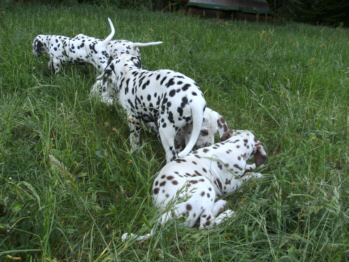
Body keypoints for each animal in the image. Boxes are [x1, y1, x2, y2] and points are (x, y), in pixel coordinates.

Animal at [121, 129, 266, 242]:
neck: (233, 146)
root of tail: (165, 213)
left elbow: (247, 168)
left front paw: (254, 166)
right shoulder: (229, 185)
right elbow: (245, 178)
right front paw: (257, 175)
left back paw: (220, 205)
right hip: (205, 184)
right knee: (205, 224)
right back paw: (226, 214)